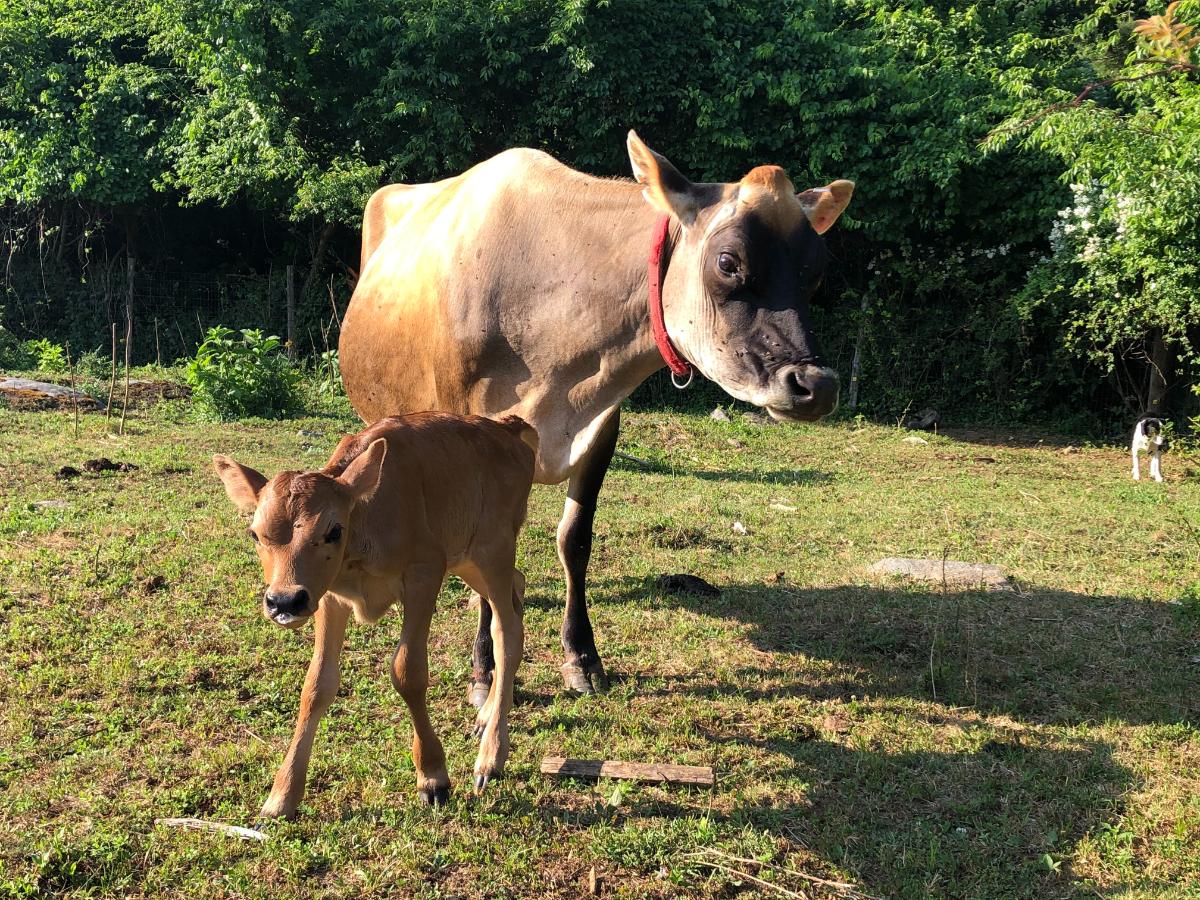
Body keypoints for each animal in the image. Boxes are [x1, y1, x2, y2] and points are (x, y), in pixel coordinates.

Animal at [213, 412, 537, 820]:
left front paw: (432, 775)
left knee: (506, 630)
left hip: (493, 548)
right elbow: (316, 685)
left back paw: (491, 756)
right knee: (517, 591)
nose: (284, 601)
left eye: (333, 530)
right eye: (255, 534)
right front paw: (283, 794)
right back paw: (489, 713)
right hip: (467, 558)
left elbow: (407, 672)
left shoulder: (425, 572)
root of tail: (506, 427)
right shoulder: (328, 596)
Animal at [338, 130, 854, 700]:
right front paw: (484, 670)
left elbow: (575, 540)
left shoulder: (602, 423)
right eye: (728, 261)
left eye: (816, 270)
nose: (817, 385)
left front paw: (582, 657)